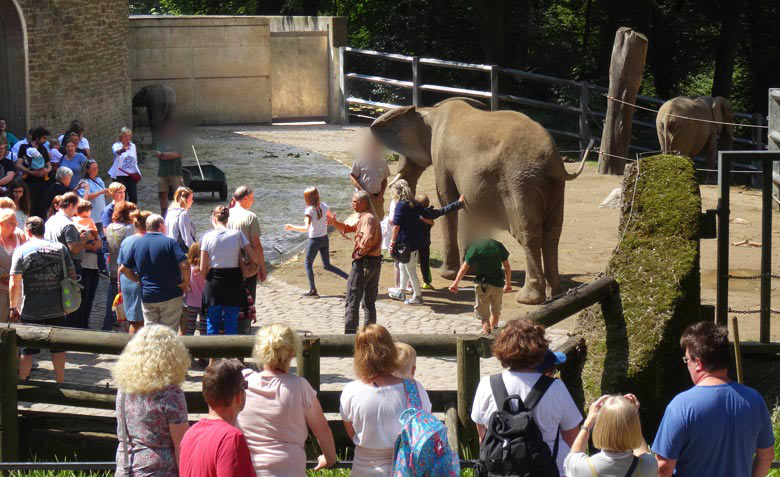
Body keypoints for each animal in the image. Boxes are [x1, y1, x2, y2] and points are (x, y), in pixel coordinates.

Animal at [370, 98, 584, 304]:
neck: (429, 110)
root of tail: (555, 161)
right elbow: (466, 207)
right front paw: (470, 270)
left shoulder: (441, 157)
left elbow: (446, 200)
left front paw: (448, 275)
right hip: (553, 186)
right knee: (552, 233)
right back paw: (558, 293)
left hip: (520, 181)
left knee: (526, 233)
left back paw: (528, 299)